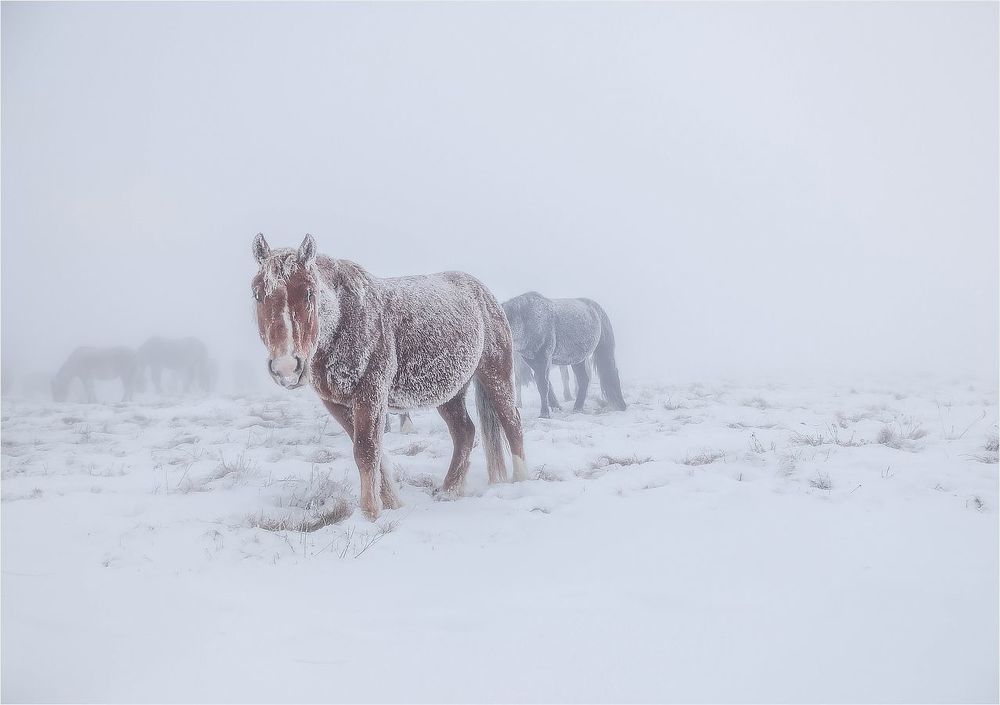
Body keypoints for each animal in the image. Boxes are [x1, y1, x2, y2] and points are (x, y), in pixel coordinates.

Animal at [251, 233, 526, 520]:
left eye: (309, 293)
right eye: (257, 294)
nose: (286, 367)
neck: (343, 319)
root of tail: (482, 291)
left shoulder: (370, 394)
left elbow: (366, 450)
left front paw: (370, 513)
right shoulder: (337, 404)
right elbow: (372, 452)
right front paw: (392, 503)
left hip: (496, 375)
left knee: (512, 423)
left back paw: (521, 482)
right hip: (449, 393)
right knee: (464, 433)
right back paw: (449, 491)